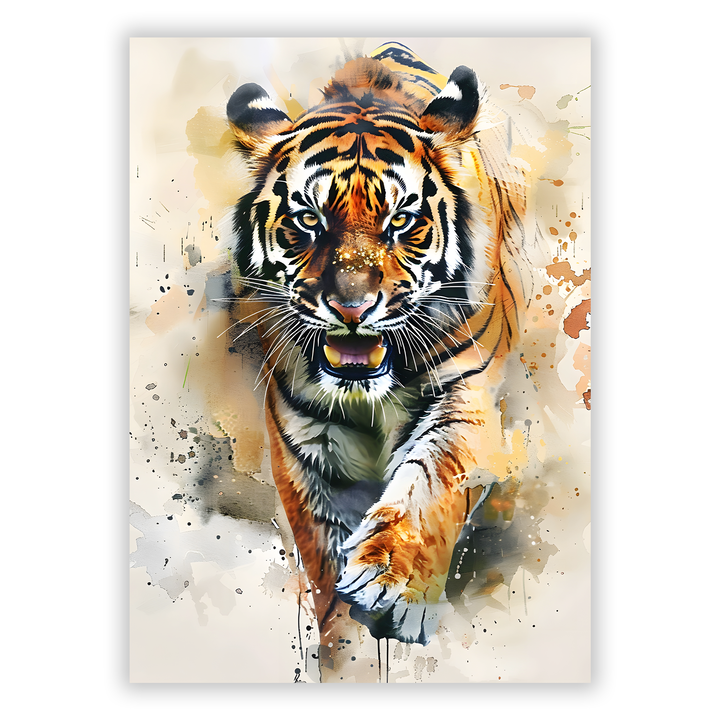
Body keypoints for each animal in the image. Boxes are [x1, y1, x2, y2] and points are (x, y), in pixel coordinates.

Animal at [225, 42, 532, 651]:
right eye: (308, 220)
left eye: (401, 221)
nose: (351, 307)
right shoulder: (304, 436)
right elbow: (321, 550)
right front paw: (342, 634)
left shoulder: (465, 393)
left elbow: (431, 482)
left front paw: (391, 580)